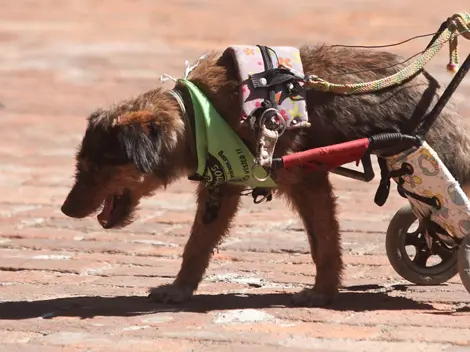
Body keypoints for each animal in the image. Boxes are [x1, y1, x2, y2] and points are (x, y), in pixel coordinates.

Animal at [60, 44, 470, 308]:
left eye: (96, 168)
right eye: (81, 166)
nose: (65, 210)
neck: (197, 115)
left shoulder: (307, 182)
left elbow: (324, 244)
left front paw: (323, 293)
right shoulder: (220, 189)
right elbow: (197, 245)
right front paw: (180, 290)